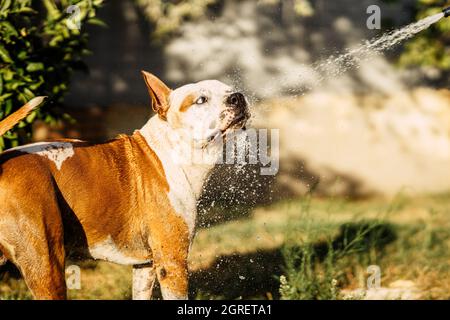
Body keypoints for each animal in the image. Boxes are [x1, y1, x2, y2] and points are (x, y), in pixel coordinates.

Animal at [0, 72, 250, 300]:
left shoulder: (146, 266)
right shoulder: (172, 261)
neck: (172, 149)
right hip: (46, 263)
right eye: (201, 100)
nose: (237, 97)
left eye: (229, 90)